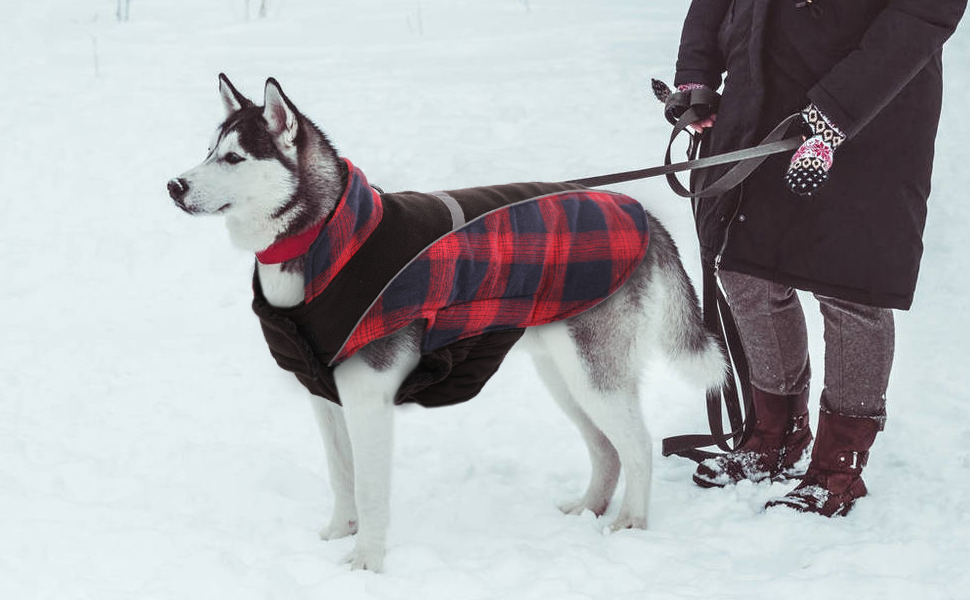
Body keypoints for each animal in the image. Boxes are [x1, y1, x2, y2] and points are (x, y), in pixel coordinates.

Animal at [168, 75, 728, 572]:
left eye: (234, 158)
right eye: (209, 149)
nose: (174, 185)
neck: (328, 240)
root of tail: (645, 213)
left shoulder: (368, 400)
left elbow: (369, 489)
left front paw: (366, 563)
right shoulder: (325, 397)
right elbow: (342, 476)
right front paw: (339, 534)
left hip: (594, 375)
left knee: (637, 447)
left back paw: (631, 522)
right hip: (564, 376)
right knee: (607, 450)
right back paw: (589, 508)